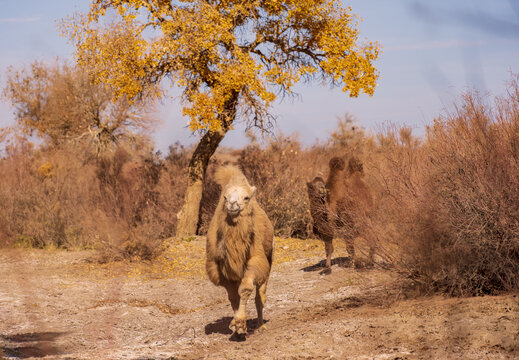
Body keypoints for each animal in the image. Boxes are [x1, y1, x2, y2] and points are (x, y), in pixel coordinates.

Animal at [206, 165, 276, 336]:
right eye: (225, 197)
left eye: (246, 198)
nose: (232, 204)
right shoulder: (221, 269)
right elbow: (233, 297)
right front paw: (236, 326)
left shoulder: (256, 260)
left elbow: (245, 289)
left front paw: (239, 324)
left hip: (270, 256)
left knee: (260, 295)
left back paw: (260, 325)